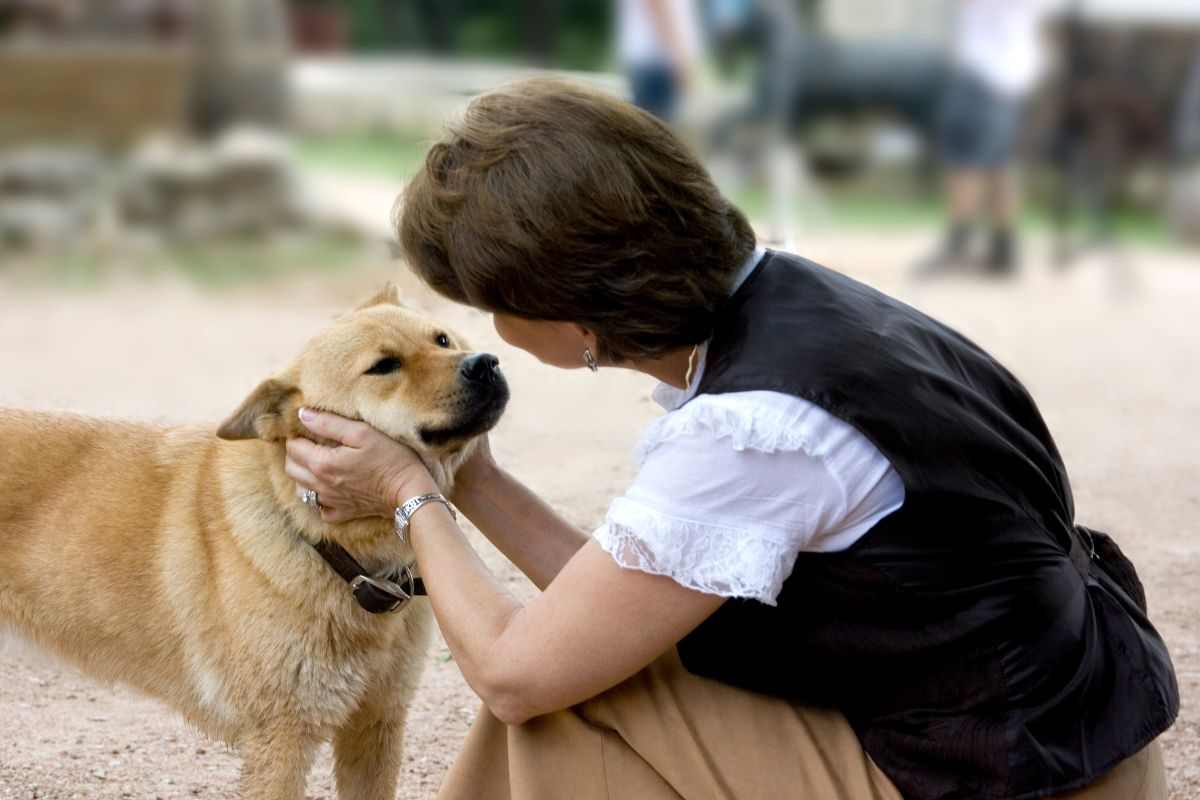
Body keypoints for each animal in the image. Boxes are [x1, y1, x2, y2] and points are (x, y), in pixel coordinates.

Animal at [0, 286, 511, 800]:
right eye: (384, 366)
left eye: (442, 339)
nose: (485, 363)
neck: (331, 547)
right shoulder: (282, 737)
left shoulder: (376, 724)